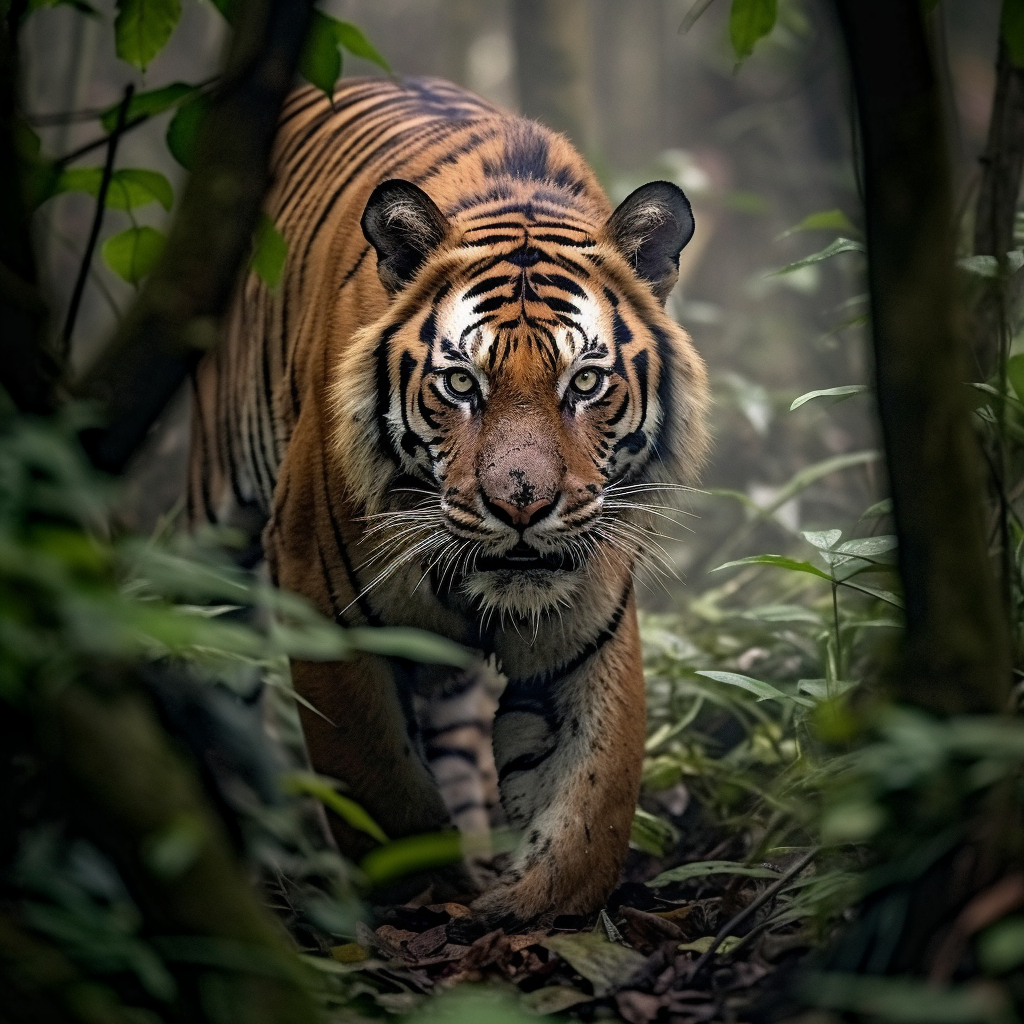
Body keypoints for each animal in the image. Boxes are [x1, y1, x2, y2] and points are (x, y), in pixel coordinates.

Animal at [188, 76, 710, 924]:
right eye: (462, 383)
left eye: (586, 382)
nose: (522, 506)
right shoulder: (321, 599)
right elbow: (381, 790)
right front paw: (432, 901)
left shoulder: (590, 624)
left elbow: (594, 805)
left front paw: (530, 910)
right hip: (217, 517)